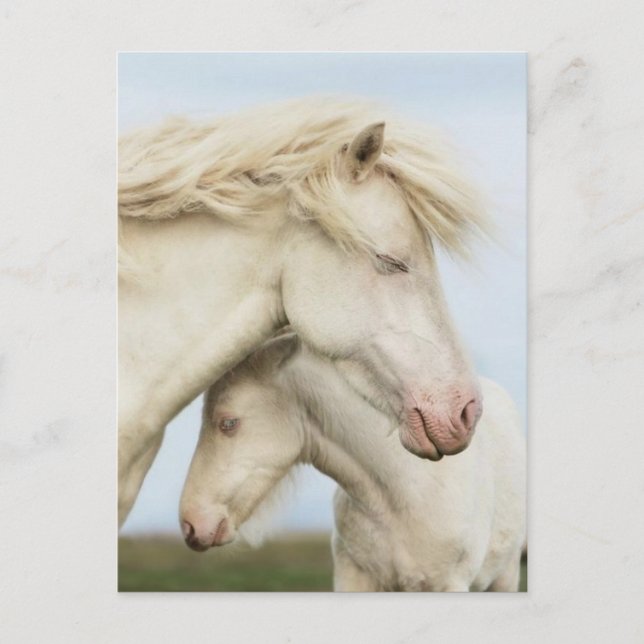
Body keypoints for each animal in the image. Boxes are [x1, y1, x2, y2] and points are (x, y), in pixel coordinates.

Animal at [179, 334, 526, 592]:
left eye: (228, 423)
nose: (190, 525)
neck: (403, 489)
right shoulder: (354, 578)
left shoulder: (449, 584)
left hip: (505, 576)